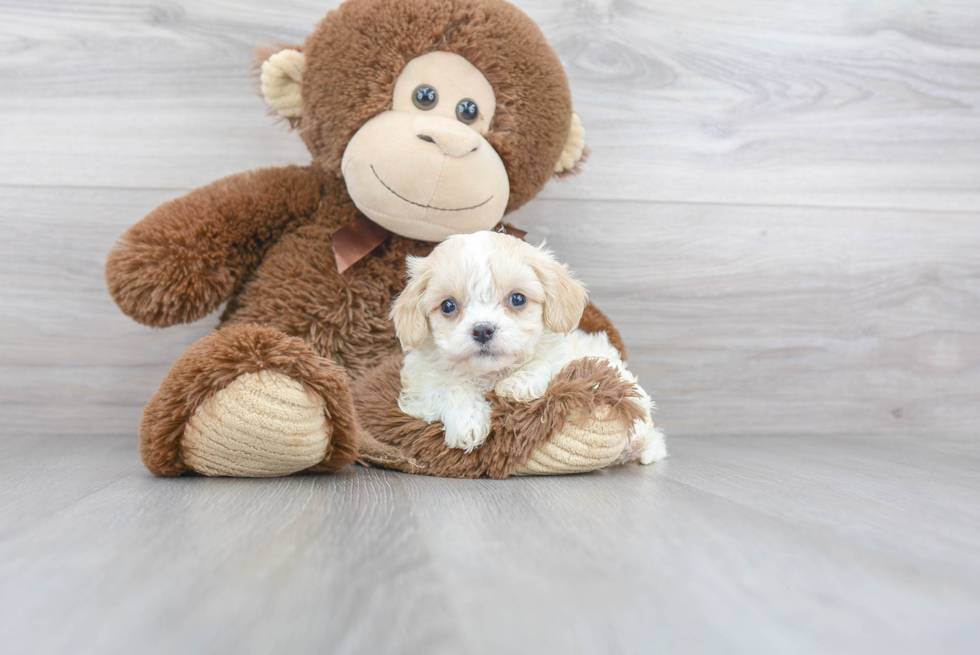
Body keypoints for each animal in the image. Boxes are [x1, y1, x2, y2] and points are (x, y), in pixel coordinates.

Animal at [390, 233, 668, 464]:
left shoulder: (568, 354)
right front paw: (467, 422)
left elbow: (549, 364)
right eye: (448, 306)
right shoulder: (419, 386)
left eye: (518, 299)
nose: (483, 329)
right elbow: (450, 387)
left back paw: (638, 441)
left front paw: (518, 384)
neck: (491, 374)